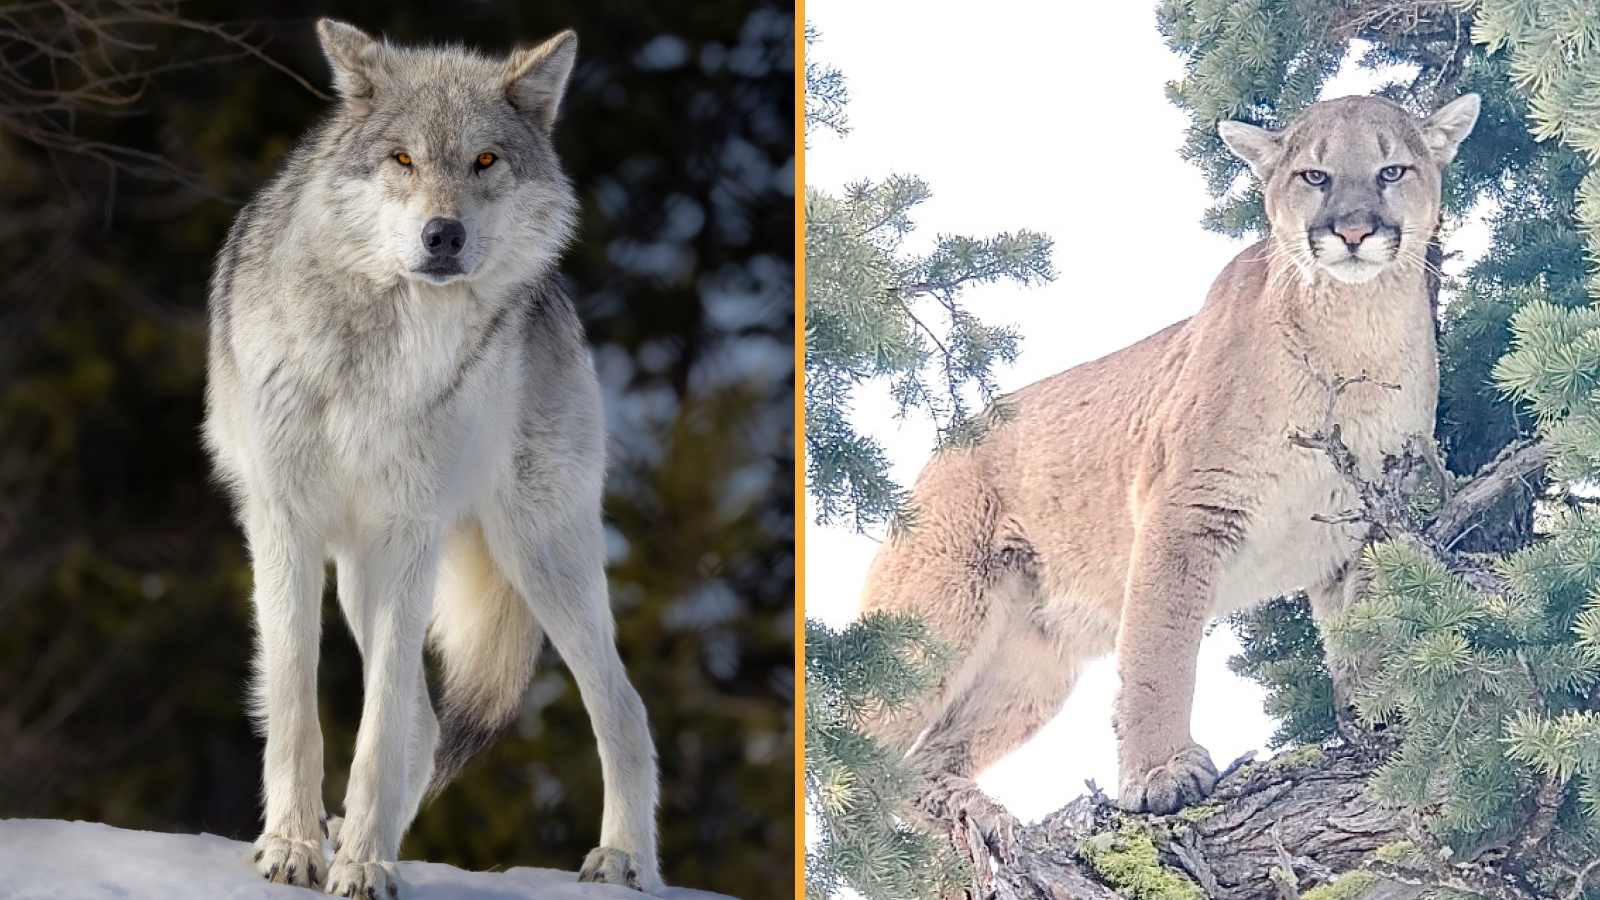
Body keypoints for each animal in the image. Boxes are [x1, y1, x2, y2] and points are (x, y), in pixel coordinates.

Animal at [203, 20, 661, 897]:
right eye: (402, 159)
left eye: (484, 160)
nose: (442, 235)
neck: (377, 354)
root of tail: (554, 298)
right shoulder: (284, 528)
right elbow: (298, 710)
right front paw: (294, 849)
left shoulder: (409, 533)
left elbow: (378, 730)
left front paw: (364, 868)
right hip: (362, 574)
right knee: (422, 724)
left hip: (537, 555)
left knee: (622, 707)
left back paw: (624, 860)